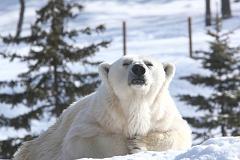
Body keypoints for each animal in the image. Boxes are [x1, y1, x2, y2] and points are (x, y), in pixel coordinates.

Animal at [14, 55, 192, 160]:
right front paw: (129, 143)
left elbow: (178, 134)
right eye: (126, 63)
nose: (138, 69)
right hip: (43, 143)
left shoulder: (161, 115)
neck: (135, 103)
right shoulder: (100, 115)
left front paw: (138, 142)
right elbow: (81, 140)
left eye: (149, 64)